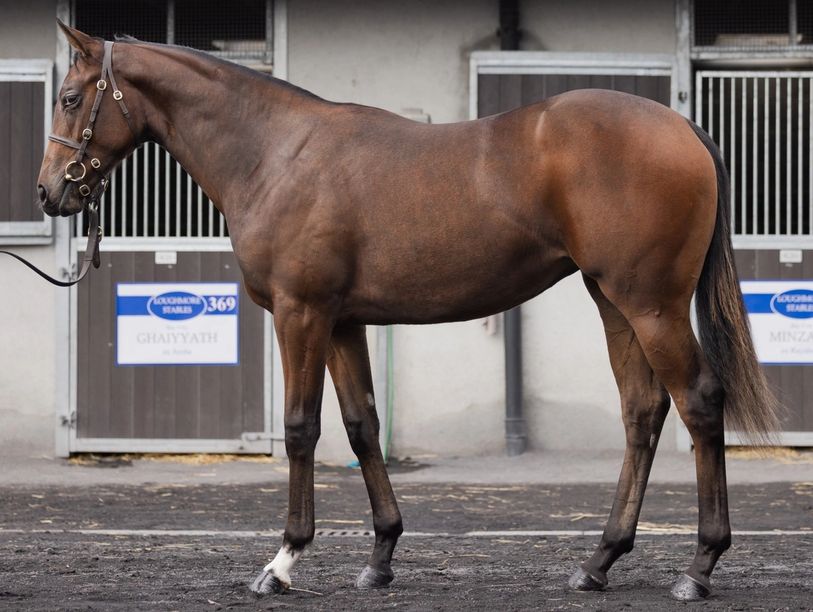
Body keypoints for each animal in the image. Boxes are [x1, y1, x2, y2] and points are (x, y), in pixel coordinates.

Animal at [37, 22, 778, 602]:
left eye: (71, 98)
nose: (48, 193)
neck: (275, 153)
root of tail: (680, 124)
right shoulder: (341, 321)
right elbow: (362, 426)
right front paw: (380, 558)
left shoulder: (300, 314)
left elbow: (302, 429)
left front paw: (282, 562)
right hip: (614, 301)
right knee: (641, 412)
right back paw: (598, 561)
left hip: (651, 306)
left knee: (698, 402)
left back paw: (698, 566)